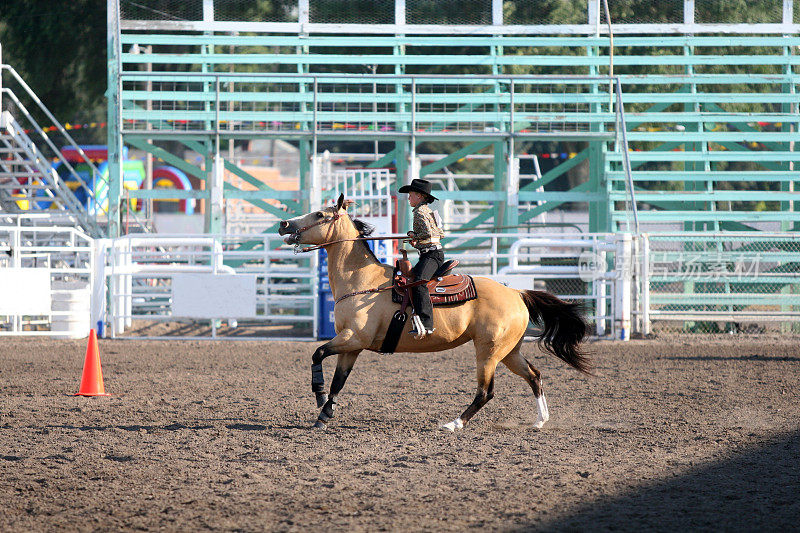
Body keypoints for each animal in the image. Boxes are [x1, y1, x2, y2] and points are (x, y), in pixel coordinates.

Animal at [278, 193, 592, 430]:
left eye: (319, 214)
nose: (283, 223)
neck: (362, 281)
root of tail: (516, 293)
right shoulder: (351, 345)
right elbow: (339, 381)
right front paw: (324, 414)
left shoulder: (354, 338)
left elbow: (318, 353)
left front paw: (319, 397)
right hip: (508, 351)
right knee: (534, 375)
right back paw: (540, 420)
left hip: (488, 352)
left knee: (486, 392)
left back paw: (454, 423)